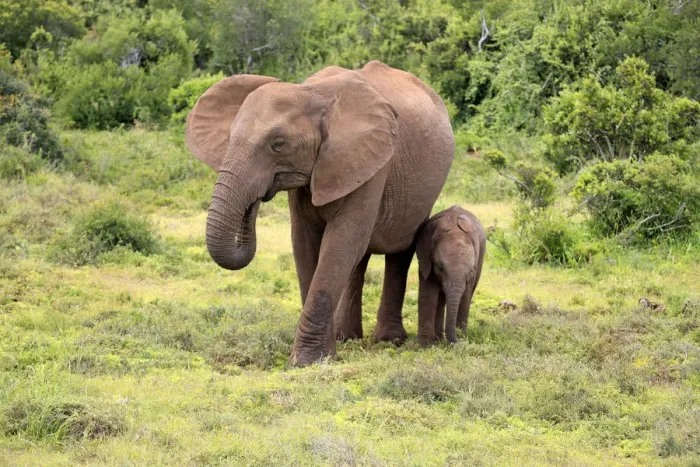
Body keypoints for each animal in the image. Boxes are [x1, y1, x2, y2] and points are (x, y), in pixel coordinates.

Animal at [185, 60, 454, 366]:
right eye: (230, 137)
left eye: (278, 144)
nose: (255, 201)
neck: (310, 93)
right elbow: (304, 243)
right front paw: (324, 355)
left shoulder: (371, 160)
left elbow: (341, 242)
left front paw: (305, 362)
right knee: (359, 259)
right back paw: (346, 337)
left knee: (400, 248)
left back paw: (389, 340)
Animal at [415, 206, 485, 346]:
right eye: (440, 267)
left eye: (470, 270)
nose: (456, 342)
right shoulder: (426, 258)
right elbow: (428, 294)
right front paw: (422, 346)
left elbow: (465, 297)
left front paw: (462, 339)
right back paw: (437, 341)